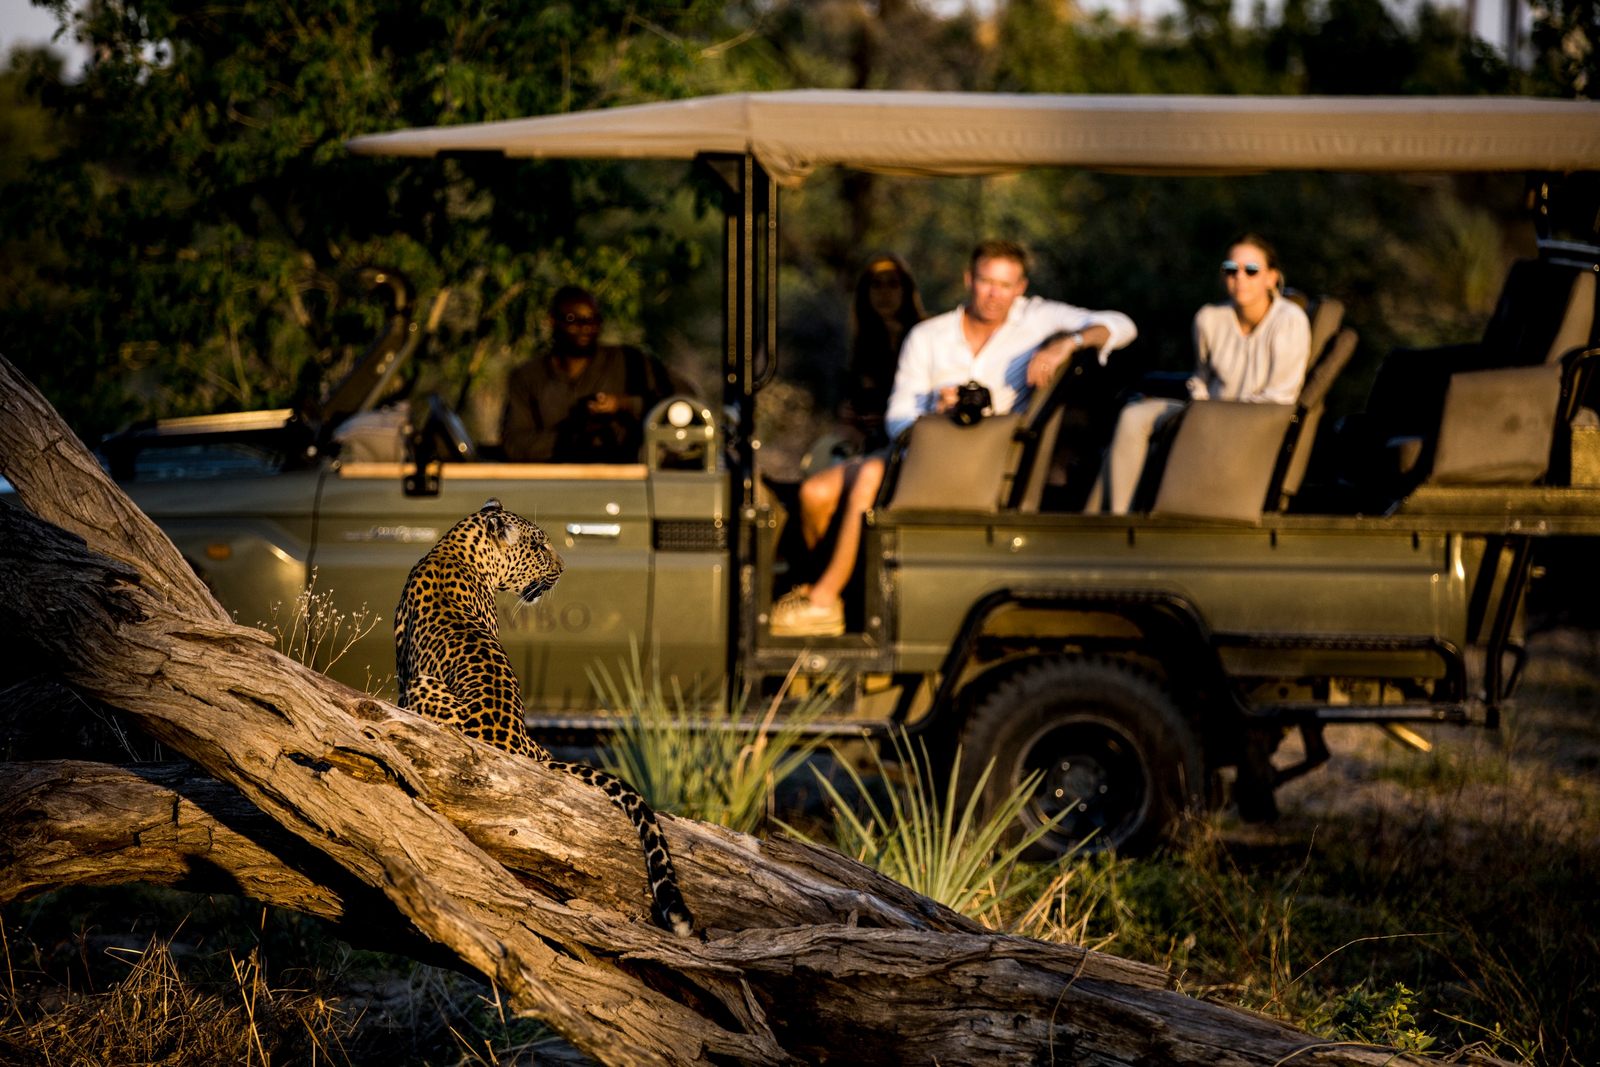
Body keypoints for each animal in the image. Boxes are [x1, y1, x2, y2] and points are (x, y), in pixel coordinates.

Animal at [394, 498, 694, 936]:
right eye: (538, 548)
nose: (564, 567)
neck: (456, 547)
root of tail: (517, 742)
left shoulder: (404, 675)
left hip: (421, 684)